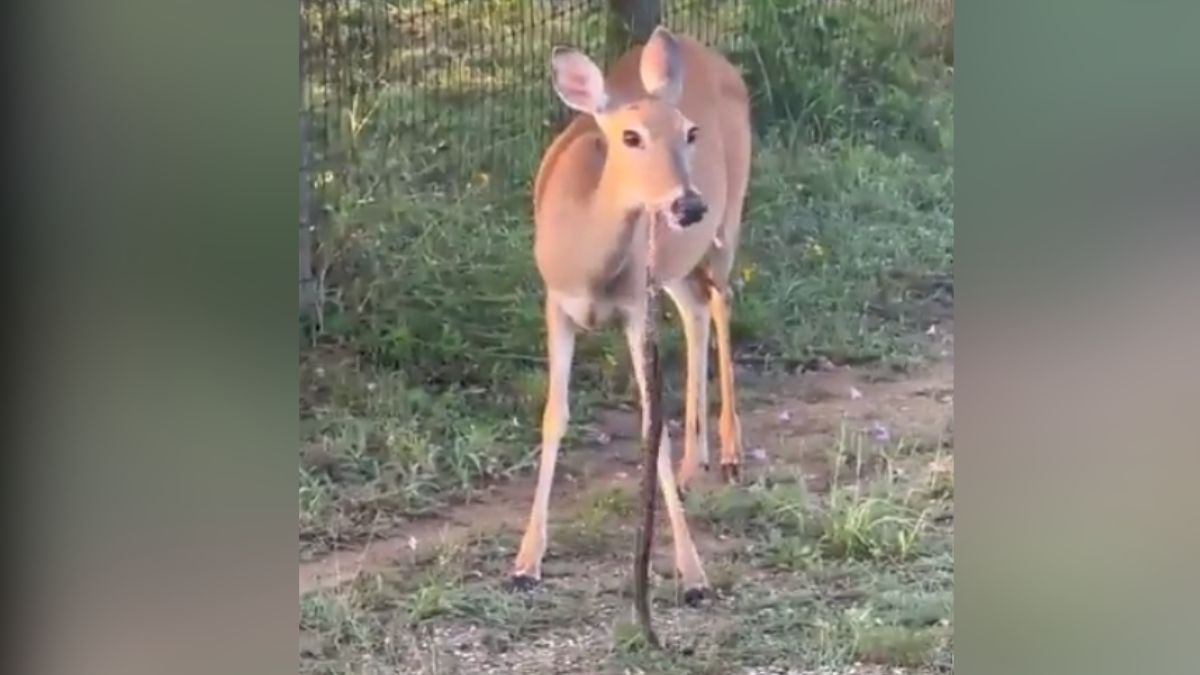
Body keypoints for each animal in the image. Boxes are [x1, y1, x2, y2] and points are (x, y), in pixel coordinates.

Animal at [511, 26, 752, 601]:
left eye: (690, 132)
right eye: (630, 137)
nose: (688, 205)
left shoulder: (634, 306)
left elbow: (651, 425)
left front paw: (693, 574)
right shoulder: (556, 302)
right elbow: (554, 415)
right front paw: (526, 561)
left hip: (727, 222)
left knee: (721, 300)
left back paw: (730, 452)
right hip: (674, 265)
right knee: (696, 308)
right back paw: (693, 463)